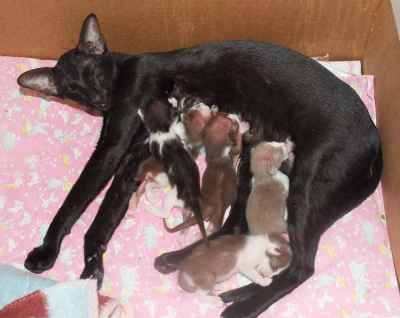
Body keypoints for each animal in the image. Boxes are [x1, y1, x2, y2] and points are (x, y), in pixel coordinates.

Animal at [18, 13, 382, 318]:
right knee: (236, 227)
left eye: (94, 73)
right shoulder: (130, 157)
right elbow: (102, 218)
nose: (99, 100)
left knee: (302, 266)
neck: (121, 70)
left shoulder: (111, 149)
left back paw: (241, 306)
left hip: (305, 183)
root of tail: (377, 147)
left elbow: (75, 199)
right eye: (73, 91)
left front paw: (48, 250)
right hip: (253, 164)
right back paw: (199, 271)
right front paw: (90, 270)